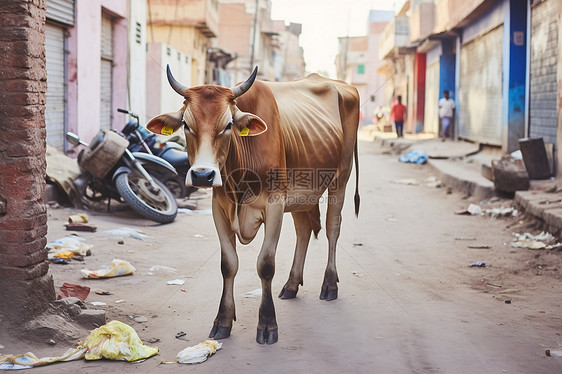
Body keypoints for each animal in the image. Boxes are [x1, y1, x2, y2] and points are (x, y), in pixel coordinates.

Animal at [145, 66, 358, 344]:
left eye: (228, 125)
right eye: (186, 124)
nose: (203, 175)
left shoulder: (275, 203)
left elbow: (265, 265)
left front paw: (267, 324)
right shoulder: (219, 207)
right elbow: (228, 265)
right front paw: (223, 320)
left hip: (340, 179)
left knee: (333, 228)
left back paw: (330, 284)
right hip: (301, 194)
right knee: (303, 230)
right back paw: (291, 285)